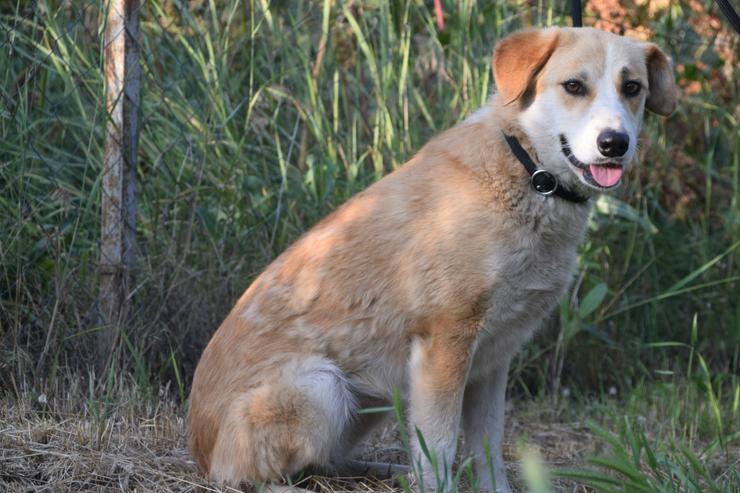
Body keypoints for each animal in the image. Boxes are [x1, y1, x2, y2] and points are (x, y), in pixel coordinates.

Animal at [186, 27, 676, 492]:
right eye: (574, 85)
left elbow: (487, 448)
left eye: (632, 88)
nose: (615, 143)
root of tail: (199, 450)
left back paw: (387, 471)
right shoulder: (445, 345)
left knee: (327, 462)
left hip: (368, 401)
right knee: (247, 477)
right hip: (321, 387)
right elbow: (439, 448)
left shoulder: (493, 359)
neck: (528, 173)